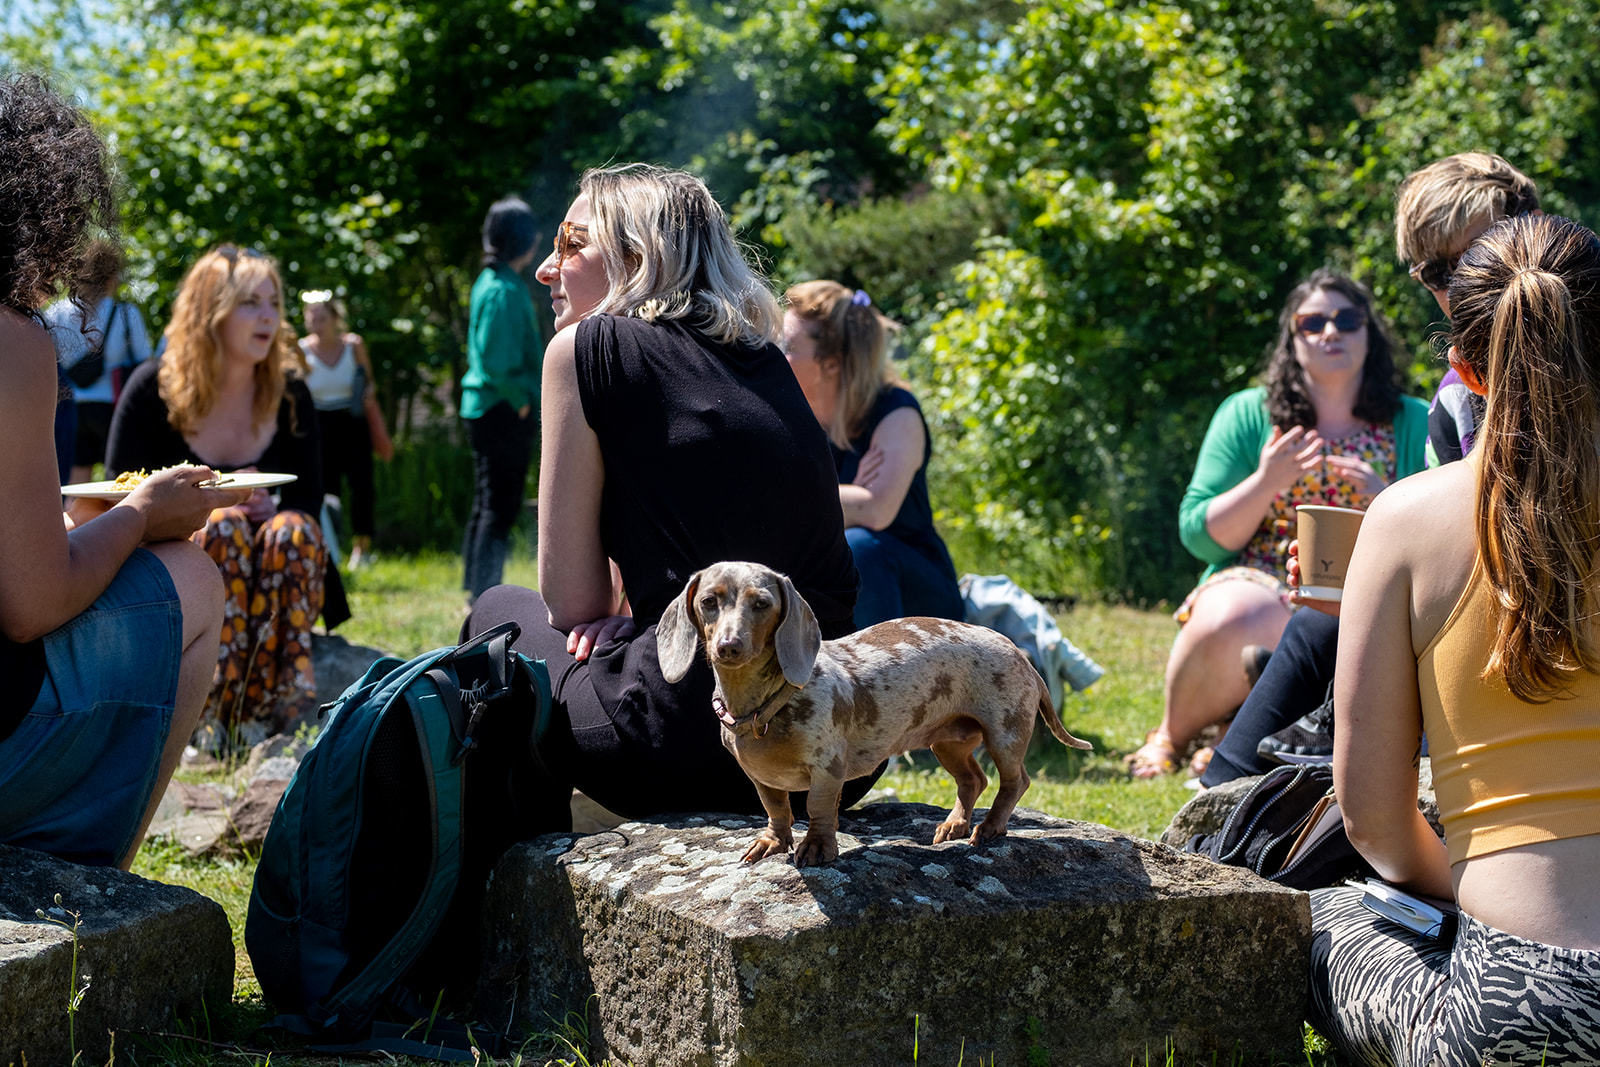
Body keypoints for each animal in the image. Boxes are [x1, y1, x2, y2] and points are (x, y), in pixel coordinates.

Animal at [656, 559, 1094, 870]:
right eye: (709, 602)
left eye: (761, 604)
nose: (729, 646)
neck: (765, 705)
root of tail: (1022, 657)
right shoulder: (761, 777)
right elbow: (777, 810)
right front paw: (772, 843)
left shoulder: (827, 770)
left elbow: (817, 810)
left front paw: (817, 849)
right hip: (947, 742)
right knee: (973, 780)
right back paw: (954, 825)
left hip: (1004, 732)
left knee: (1015, 781)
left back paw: (988, 829)